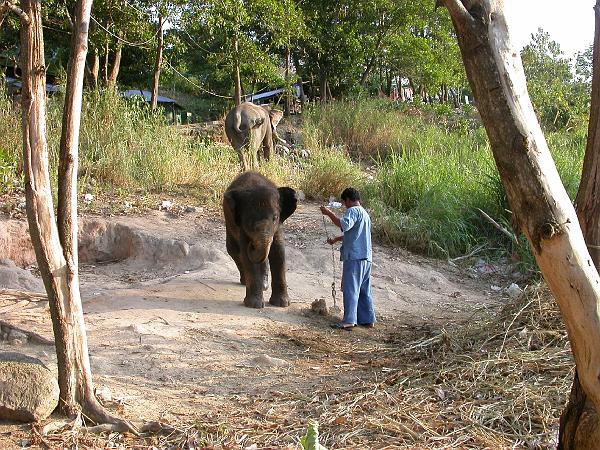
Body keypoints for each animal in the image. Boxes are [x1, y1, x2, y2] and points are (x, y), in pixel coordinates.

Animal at [223, 171, 298, 308]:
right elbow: (246, 256)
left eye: (275, 217)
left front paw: (282, 304)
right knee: (233, 250)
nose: (252, 245)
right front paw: (254, 305)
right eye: (249, 220)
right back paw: (246, 282)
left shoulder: (278, 226)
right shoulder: (241, 227)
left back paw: (264, 286)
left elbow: (278, 252)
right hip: (228, 220)